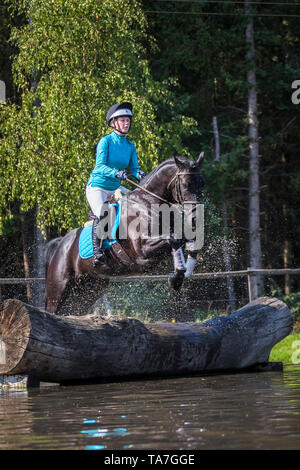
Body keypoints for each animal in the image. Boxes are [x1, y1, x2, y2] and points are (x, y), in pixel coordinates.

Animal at [44, 155, 205, 316]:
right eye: (185, 184)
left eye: (201, 184)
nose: (196, 219)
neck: (148, 203)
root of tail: (61, 244)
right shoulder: (142, 251)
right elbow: (174, 240)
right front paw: (177, 277)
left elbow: (183, 241)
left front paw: (182, 273)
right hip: (58, 289)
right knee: (52, 309)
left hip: (90, 289)